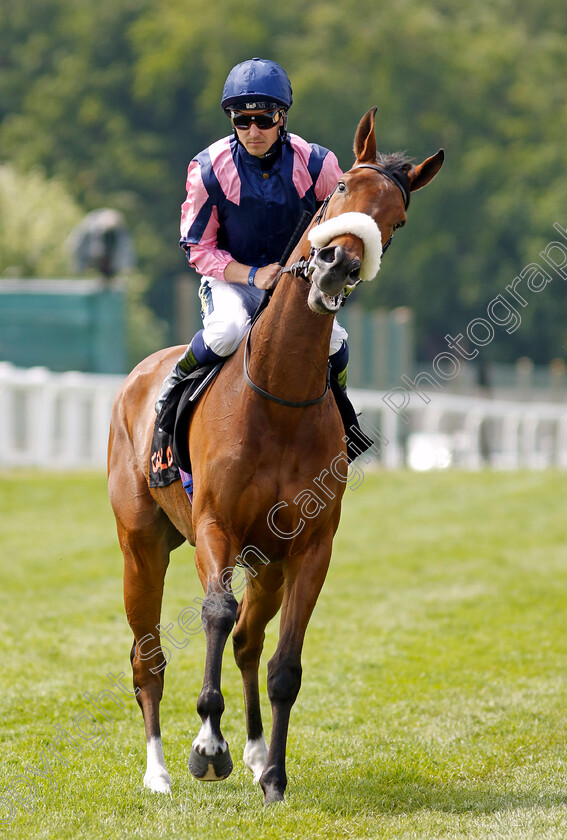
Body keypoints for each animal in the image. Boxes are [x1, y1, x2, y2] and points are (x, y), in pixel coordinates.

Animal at [106, 108, 444, 804]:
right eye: (340, 190)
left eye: (396, 219)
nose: (337, 264)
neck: (279, 395)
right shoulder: (216, 525)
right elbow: (214, 611)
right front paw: (208, 747)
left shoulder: (309, 545)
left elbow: (283, 663)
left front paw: (275, 776)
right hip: (142, 546)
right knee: (149, 655)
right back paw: (157, 771)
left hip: (267, 561)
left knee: (246, 642)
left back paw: (259, 753)